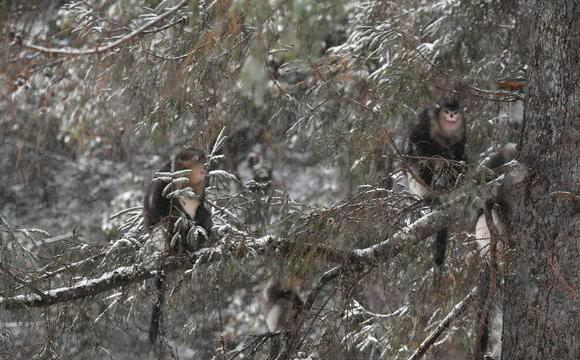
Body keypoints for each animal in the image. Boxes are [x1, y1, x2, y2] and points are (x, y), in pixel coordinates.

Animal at [406, 96, 468, 272]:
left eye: (455, 112)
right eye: (447, 111)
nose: (452, 115)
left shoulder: (462, 127)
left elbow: (460, 149)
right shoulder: (427, 118)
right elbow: (418, 139)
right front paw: (441, 151)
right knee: (422, 160)